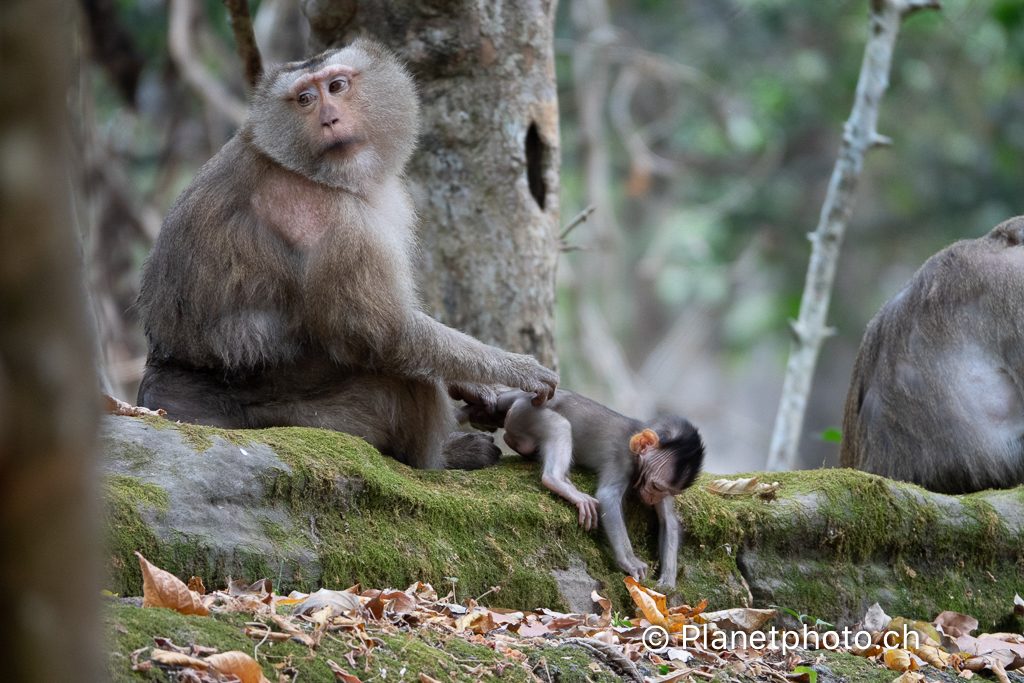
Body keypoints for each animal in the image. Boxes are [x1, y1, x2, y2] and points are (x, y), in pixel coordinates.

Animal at [134, 41, 561, 471]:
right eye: (305, 99)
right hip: (314, 421)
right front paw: (517, 370)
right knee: (403, 374)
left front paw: (476, 386)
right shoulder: (326, 217)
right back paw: (439, 459)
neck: (302, 166)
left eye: (337, 86)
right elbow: (386, 333)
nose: (329, 119)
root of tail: (166, 388)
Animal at [456, 389, 704, 589]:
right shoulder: (622, 458)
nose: (652, 499)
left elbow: (669, 520)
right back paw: (558, 481)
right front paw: (629, 561)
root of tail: (522, 398)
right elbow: (607, 497)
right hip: (528, 414)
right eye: (655, 486)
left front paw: (668, 580)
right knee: (559, 427)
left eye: (665, 491)